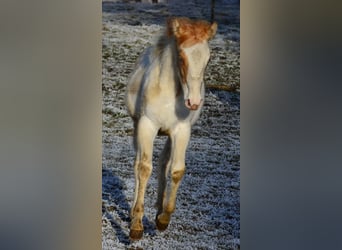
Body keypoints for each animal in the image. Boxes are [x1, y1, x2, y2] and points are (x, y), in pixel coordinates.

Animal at [125, 16, 216, 239]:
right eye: (182, 57)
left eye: (208, 60)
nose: (194, 102)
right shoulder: (147, 126)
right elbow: (143, 168)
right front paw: (136, 225)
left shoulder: (181, 130)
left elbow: (176, 170)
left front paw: (163, 219)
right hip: (138, 126)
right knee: (138, 164)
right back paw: (132, 213)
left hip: (167, 135)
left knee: (163, 164)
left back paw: (158, 209)